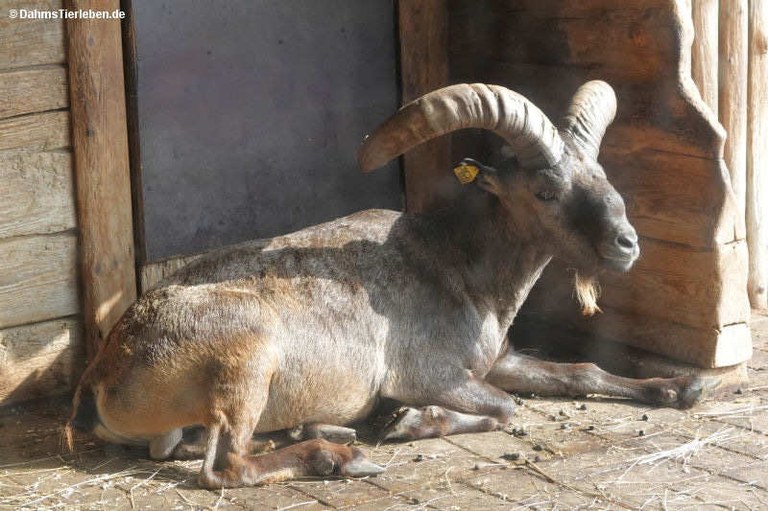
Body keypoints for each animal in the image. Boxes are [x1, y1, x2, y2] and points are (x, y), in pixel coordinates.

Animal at [66, 81, 710, 488]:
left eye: (598, 172)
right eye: (545, 190)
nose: (626, 244)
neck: (458, 265)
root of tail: (101, 376)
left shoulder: (495, 360)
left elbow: (580, 372)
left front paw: (679, 387)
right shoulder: (429, 373)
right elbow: (505, 408)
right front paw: (409, 421)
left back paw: (311, 429)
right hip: (249, 357)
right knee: (225, 466)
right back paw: (338, 456)